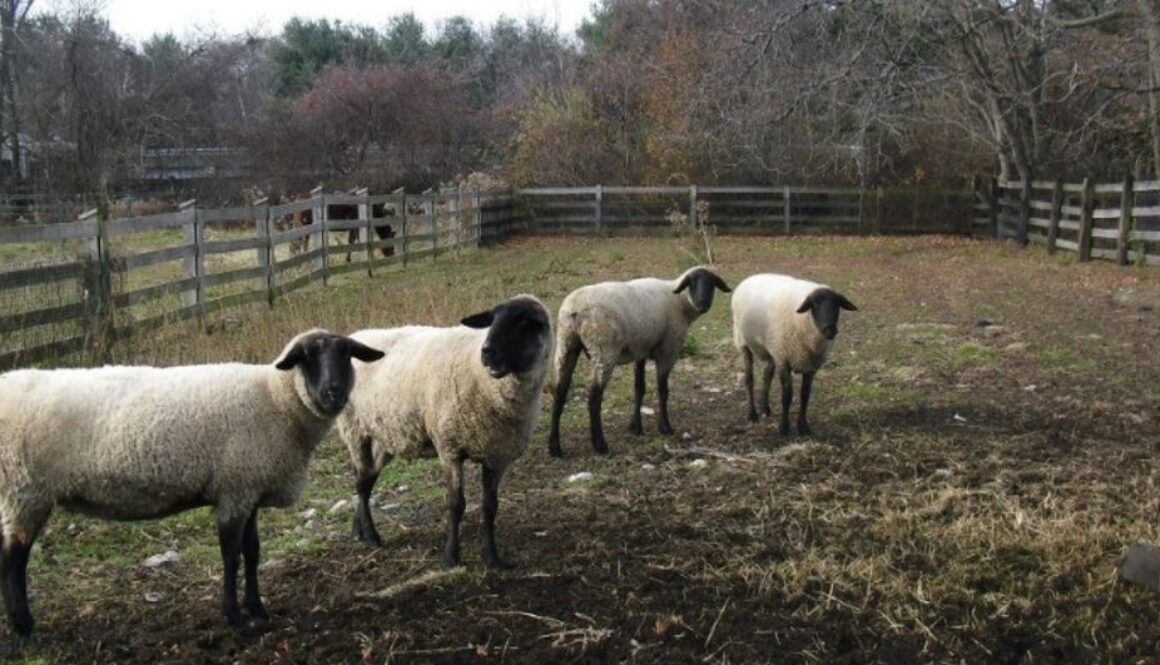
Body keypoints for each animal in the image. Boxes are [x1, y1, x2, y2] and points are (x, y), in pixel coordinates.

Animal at [0, 330, 385, 637]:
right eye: (307, 358)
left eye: (346, 354)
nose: (334, 392)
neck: (276, 399)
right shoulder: (233, 490)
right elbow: (231, 556)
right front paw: (234, 617)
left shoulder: (249, 488)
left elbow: (253, 552)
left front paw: (257, 608)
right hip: (24, 490)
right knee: (13, 558)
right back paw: (24, 627)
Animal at [336, 294, 553, 569]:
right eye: (492, 319)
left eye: (525, 322)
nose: (487, 353)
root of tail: (356, 336)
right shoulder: (450, 447)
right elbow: (456, 504)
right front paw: (451, 557)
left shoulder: (497, 455)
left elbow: (490, 506)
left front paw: (492, 558)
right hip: (355, 429)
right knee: (362, 484)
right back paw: (372, 536)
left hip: (384, 436)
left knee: (366, 479)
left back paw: (359, 531)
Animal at [548, 266, 731, 457]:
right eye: (692, 282)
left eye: (712, 283)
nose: (703, 305)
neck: (681, 302)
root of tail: (574, 308)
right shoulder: (667, 350)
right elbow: (663, 390)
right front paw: (665, 427)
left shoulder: (640, 350)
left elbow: (639, 388)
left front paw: (635, 427)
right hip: (603, 349)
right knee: (594, 398)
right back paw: (600, 445)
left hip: (565, 344)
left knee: (559, 394)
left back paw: (555, 447)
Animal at [731, 274, 857, 437]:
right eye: (814, 303)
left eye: (837, 304)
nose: (830, 329)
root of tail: (750, 277)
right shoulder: (784, 360)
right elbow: (787, 397)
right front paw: (783, 428)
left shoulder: (809, 365)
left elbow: (805, 396)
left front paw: (803, 427)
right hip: (743, 341)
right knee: (749, 378)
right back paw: (752, 415)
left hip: (772, 347)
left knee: (767, 373)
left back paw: (765, 408)